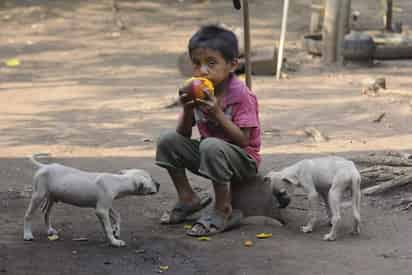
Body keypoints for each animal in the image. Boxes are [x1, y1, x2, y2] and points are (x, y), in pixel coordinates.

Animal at [23, 153, 160, 248]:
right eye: (151, 179)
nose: (159, 184)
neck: (118, 181)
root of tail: (44, 166)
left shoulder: (105, 207)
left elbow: (117, 217)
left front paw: (116, 231)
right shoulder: (101, 210)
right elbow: (108, 227)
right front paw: (114, 242)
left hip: (52, 197)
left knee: (46, 213)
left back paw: (49, 230)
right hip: (38, 195)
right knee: (28, 215)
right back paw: (27, 235)